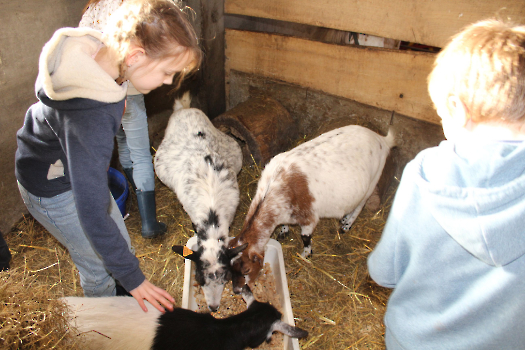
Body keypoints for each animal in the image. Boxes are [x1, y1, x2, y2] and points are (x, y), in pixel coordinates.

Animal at [228, 124, 392, 292]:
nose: (237, 290)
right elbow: (285, 224)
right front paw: (284, 231)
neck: (274, 187)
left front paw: (305, 254)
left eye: (246, 269)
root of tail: (382, 139)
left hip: (372, 182)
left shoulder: (310, 218)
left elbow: (305, 237)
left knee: (360, 206)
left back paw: (346, 224)